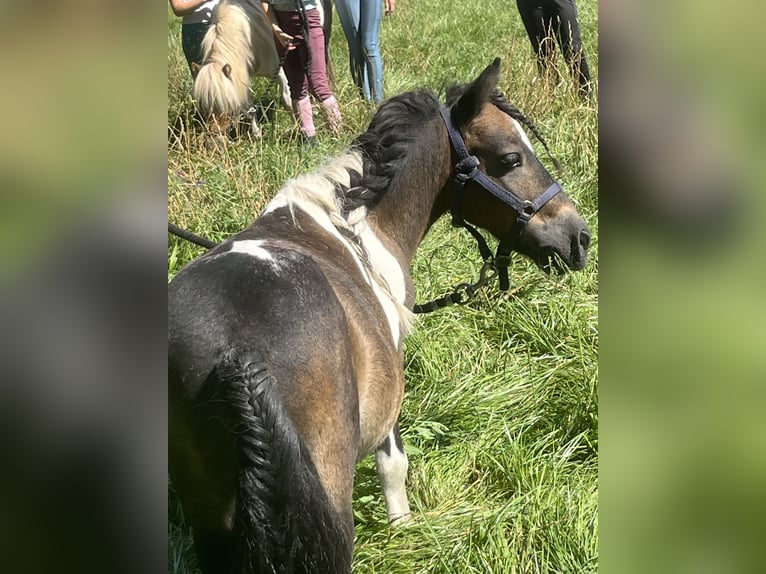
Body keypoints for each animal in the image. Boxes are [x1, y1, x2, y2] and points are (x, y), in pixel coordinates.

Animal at [170, 59, 592, 574]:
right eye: (511, 158)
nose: (579, 237)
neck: (356, 226)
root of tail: (238, 350)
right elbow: (394, 467)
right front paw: (404, 529)